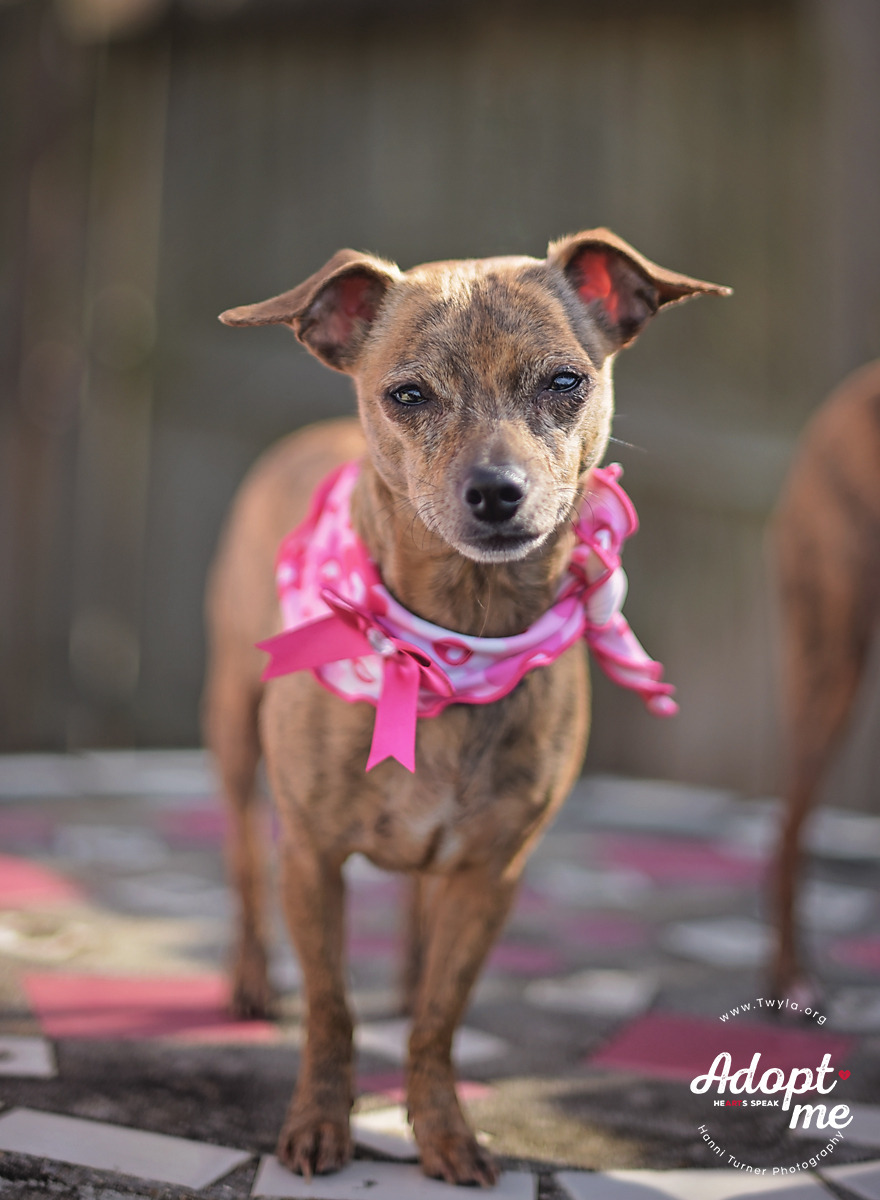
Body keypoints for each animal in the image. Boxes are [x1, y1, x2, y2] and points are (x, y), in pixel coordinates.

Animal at [204, 229, 729, 1185]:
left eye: (565, 381)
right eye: (407, 394)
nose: (497, 491)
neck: (451, 651)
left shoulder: (491, 873)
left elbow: (443, 1019)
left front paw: (443, 1129)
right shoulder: (313, 858)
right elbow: (330, 1008)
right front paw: (319, 1124)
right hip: (231, 728)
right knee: (240, 856)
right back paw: (252, 978)